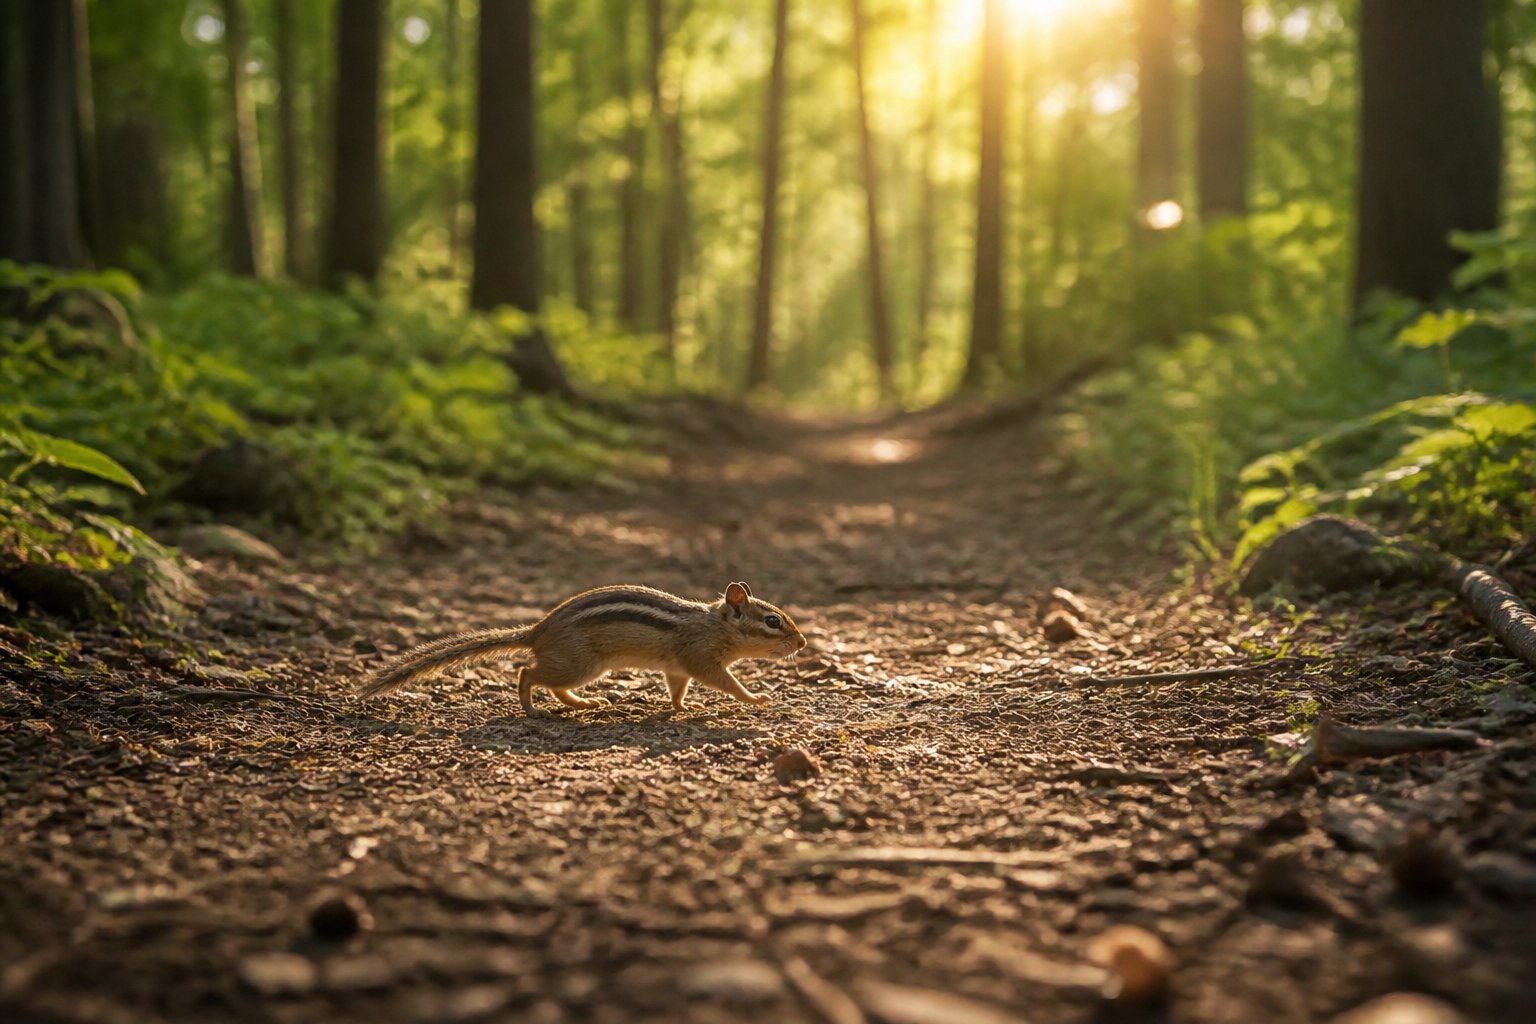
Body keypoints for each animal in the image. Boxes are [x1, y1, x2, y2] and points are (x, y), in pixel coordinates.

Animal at [359, 581, 806, 715]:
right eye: (773, 622)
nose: (802, 642)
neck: (714, 624)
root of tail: (536, 631)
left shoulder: (677, 668)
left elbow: (677, 688)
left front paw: (684, 706)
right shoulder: (699, 658)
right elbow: (725, 683)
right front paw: (756, 698)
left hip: (584, 669)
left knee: (555, 686)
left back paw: (583, 704)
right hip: (580, 665)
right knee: (527, 672)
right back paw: (532, 709)